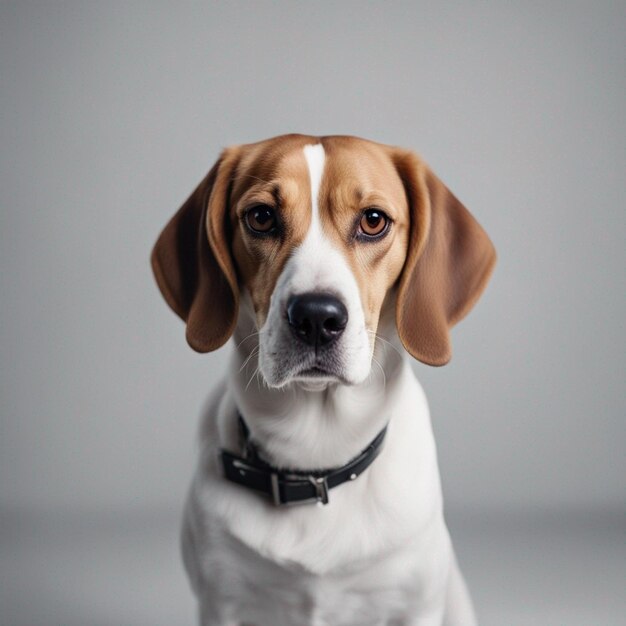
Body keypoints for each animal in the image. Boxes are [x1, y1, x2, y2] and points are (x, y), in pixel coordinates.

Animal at [150, 133, 492, 624]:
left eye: (373, 221)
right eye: (261, 217)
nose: (315, 317)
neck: (316, 453)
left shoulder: (414, 605)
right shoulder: (222, 601)